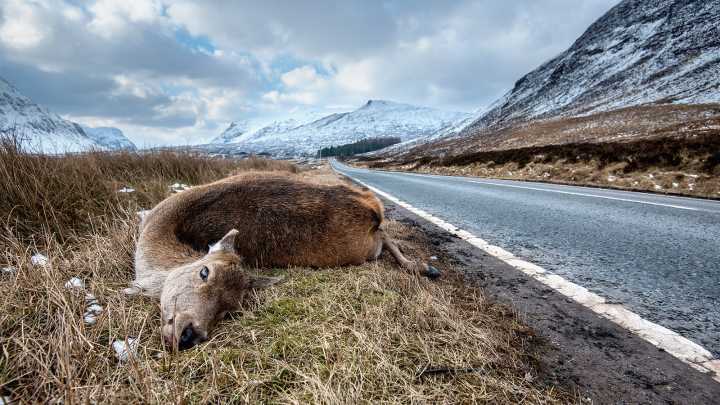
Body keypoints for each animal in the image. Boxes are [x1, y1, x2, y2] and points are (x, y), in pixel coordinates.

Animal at [128, 171, 440, 351]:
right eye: (204, 272)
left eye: (230, 310)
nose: (189, 334)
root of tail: (373, 209)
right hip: (369, 247)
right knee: (386, 236)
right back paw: (424, 267)